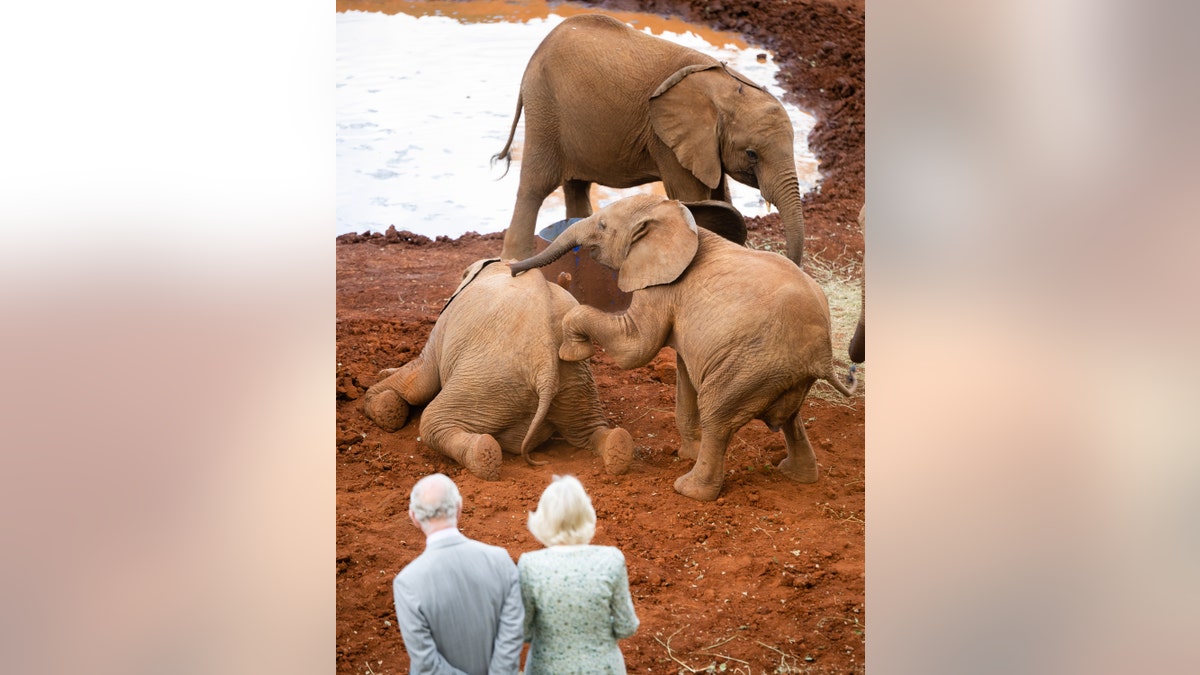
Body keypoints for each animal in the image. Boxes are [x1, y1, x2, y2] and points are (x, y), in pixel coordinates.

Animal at [357, 255, 633, 478]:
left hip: (489, 380)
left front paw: (383, 405)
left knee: (433, 421)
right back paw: (617, 449)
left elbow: (419, 384)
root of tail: (545, 368)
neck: (503, 262)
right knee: (588, 428)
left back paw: (485, 455)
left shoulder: (442, 328)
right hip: (576, 380)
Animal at [492, 12, 811, 267]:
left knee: (576, 185)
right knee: (537, 185)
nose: (791, 262)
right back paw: (513, 261)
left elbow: (720, 194)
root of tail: (538, 51)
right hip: (544, 108)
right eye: (752, 154)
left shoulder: (705, 146)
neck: (726, 88)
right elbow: (693, 195)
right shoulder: (667, 141)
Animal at [511, 194, 859, 499]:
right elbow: (682, 372)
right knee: (791, 418)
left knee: (718, 415)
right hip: (772, 370)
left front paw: (572, 352)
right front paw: (687, 452)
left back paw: (689, 490)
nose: (515, 270)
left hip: (752, 365)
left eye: (603, 226)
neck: (672, 215)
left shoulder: (662, 287)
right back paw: (796, 475)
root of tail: (822, 356)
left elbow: (635, 348)